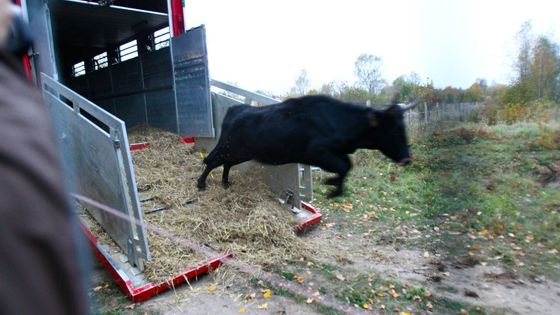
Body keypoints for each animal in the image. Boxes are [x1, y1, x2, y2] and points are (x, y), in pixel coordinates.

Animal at [197, 95, 416, 198]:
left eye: (404, 127)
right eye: (394, 131)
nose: (407, 158)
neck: (339, 120)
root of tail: (237, 109)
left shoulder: (334, 154)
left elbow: (347, 165)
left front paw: (334, 184)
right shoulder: (317, 152)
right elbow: (345, 166)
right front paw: (333, 187)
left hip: (240, 152)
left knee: (225, 164)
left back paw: (225, 183)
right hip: (231, 148)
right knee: (212, 162)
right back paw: (201, 184)